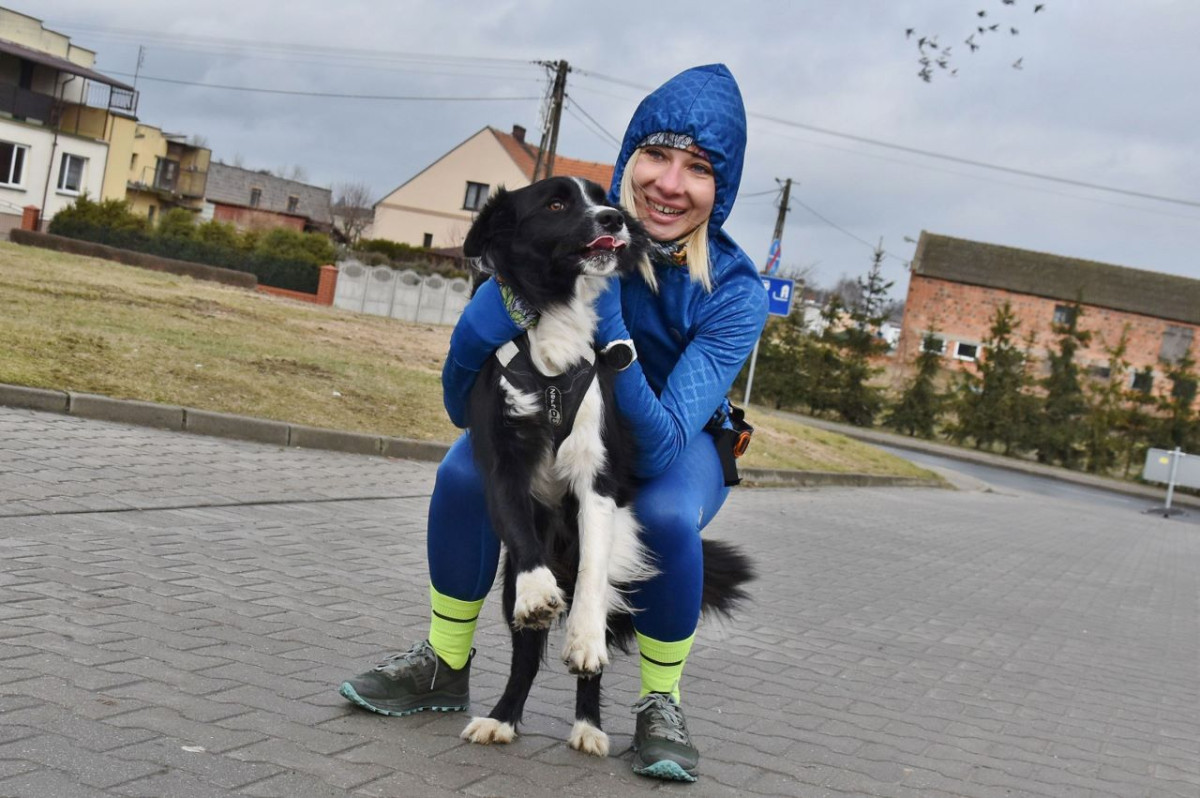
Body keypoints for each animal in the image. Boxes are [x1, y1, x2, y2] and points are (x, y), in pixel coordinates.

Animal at [458, 177, 748, 758]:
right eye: (555, 202)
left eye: (602, 198)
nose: (614, 219)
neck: (558, 316)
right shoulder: (501, 460)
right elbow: (520, 535)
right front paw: (539, 592)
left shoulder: (598, 481)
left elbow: (592, 575)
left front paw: (585, 639)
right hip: (509, 590)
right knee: (526, 655)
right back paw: (501, 718)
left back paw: (588, 726)